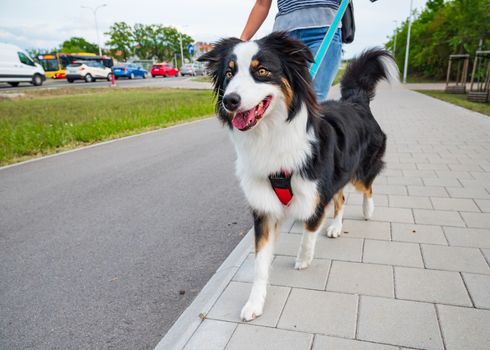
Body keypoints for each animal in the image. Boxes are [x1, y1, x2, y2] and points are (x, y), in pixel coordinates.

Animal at [198, 32, 398, 320]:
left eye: (261, 71)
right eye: (229, 73)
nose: (230, 101)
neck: (271, 136)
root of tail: (355, 100)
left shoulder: (315, 194)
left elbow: (308, 232)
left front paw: (304, 259)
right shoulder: (264, 208)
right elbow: (260, 263)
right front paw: (255, 303)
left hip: (359, 170)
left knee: (367, 188)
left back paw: (368, 211)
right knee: (340, 200)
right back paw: (336, 227)